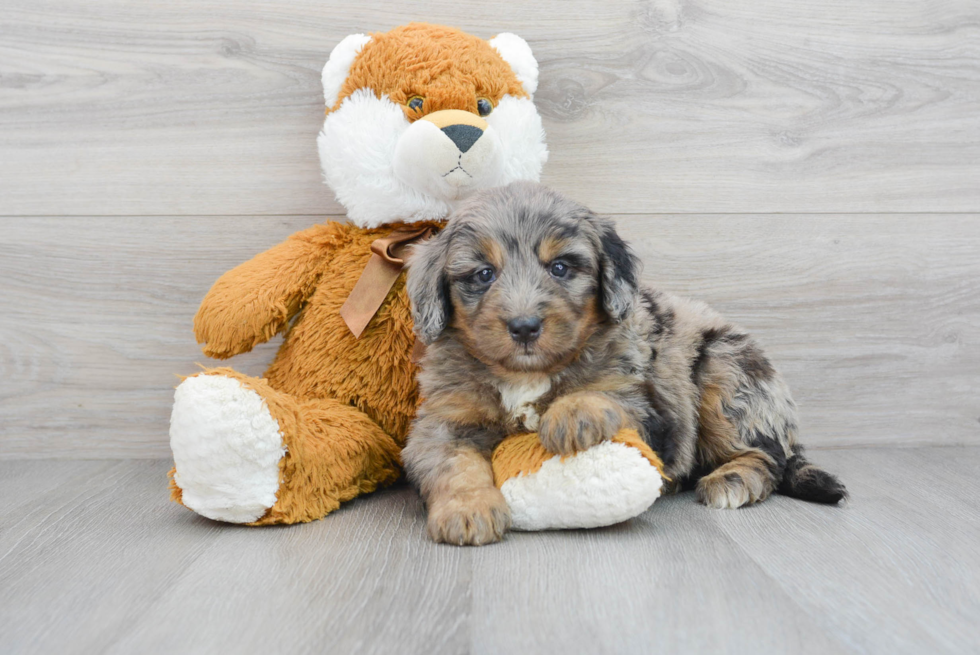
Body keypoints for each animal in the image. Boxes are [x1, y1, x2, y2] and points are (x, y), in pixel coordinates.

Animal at [402, 182, 848, 544]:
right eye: (483, 274)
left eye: (560, 267)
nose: (524, 326)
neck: (527, 374)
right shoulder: (444, 421)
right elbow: (454, 463)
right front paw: (468, 510)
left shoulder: (651, 407)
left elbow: (608, 396)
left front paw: (572, 413)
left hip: (725, 370)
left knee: (768, 456)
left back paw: (731, 480)